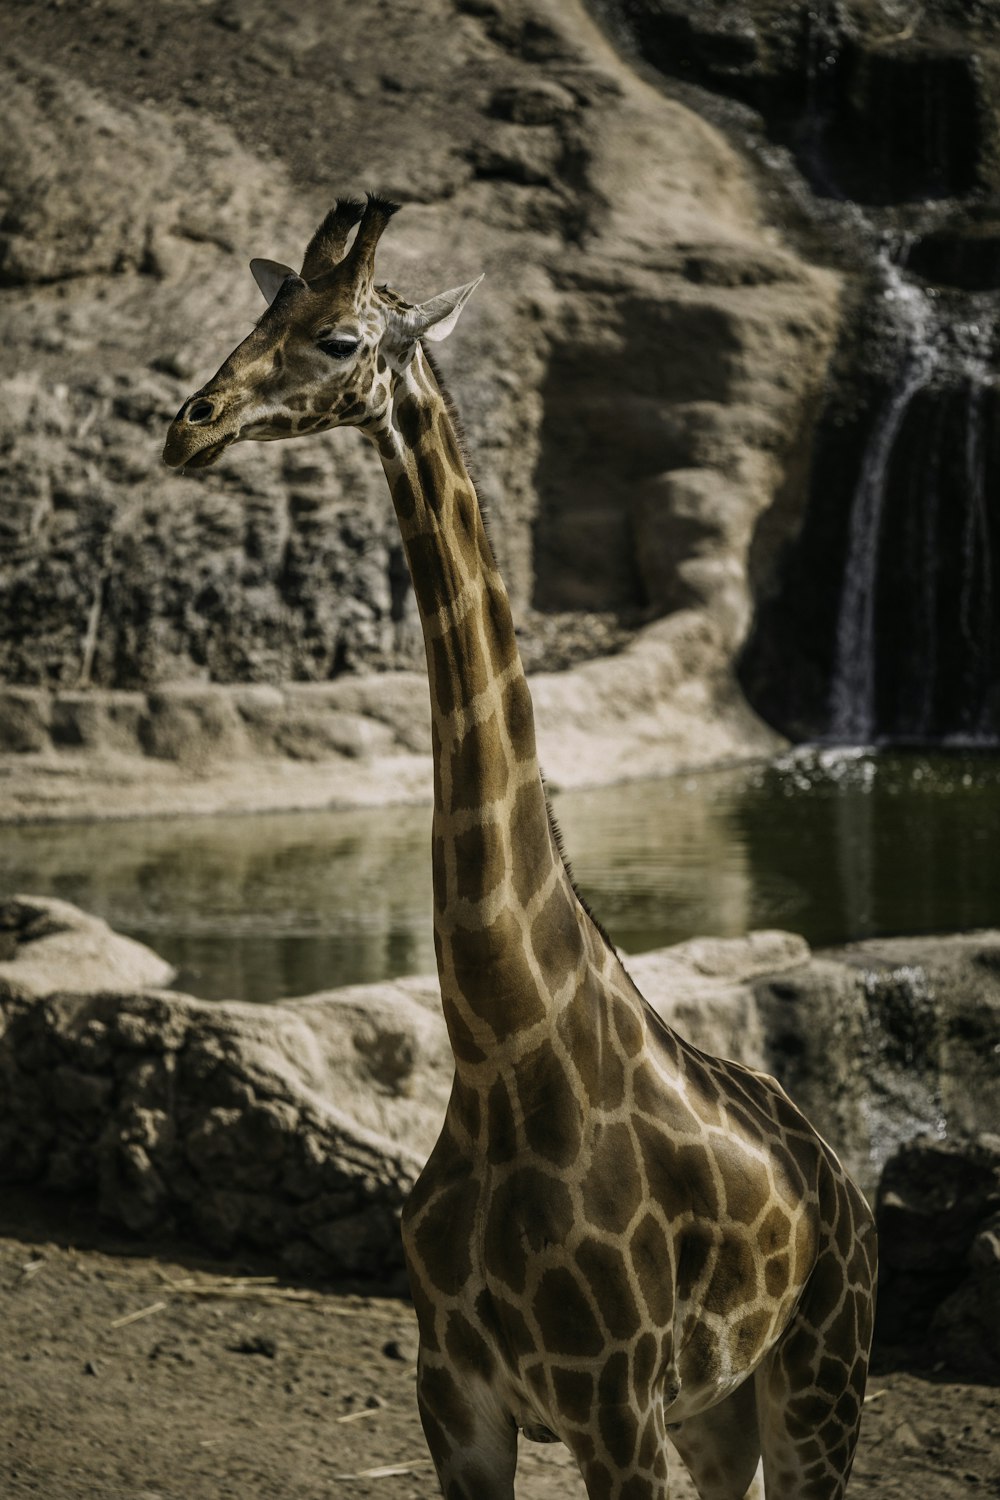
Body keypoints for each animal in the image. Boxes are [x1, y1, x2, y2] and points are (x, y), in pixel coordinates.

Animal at [162, 202, 875, 1500]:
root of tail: (842, 1181)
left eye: (340, 338)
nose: (191, 423)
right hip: (722, 1413)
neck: (502, 1058)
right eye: (260, 312)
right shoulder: (456, 1399)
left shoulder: (614, 1407)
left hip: (817, 1387)